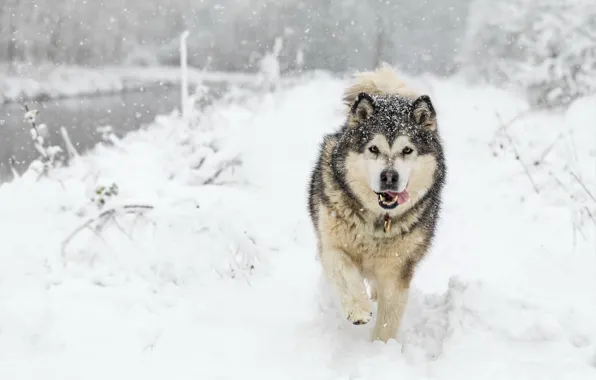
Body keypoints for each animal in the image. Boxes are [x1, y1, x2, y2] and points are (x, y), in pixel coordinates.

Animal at [308, 63, 448, 342]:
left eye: (407, 150)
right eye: (373, 149)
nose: (389, 177)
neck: (376, 220)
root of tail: (390, 95)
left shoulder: (397, 269)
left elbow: (388, 316)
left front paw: (381, 348)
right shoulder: (333, 245)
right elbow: (344, 273)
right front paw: (358, 309)